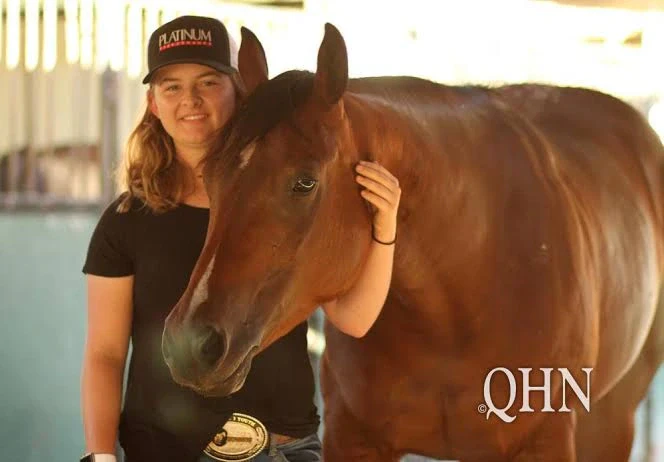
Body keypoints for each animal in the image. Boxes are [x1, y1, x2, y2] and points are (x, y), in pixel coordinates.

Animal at [162, 23, 664, 461]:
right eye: (209, 176)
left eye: (304, 182)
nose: (189, 344)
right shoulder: (353, 439)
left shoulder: (545, 443)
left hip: (612, 418)